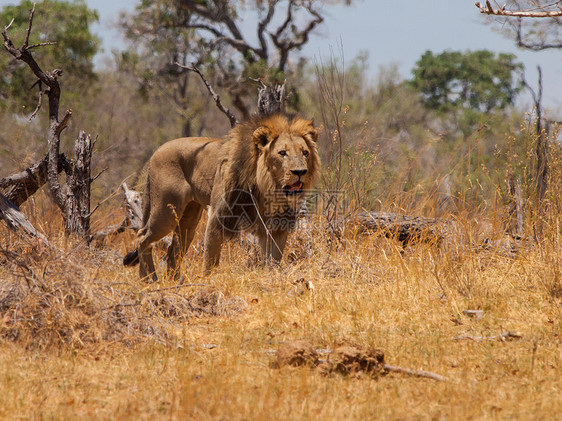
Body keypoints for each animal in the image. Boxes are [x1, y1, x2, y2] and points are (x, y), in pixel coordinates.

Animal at [122, 113, 318, 280]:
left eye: (305, 153)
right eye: (282, 153)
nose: (300, 172)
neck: (268, 187)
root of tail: (156, 151)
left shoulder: (276, 225)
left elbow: (273, 257)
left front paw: (272, 277)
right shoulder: (219, 216)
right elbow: (211, 258)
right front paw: (207, 283)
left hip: (188, 217)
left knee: (174, 250)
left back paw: (174, 281)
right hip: (166, 210)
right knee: (142, 237)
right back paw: (149, 279)